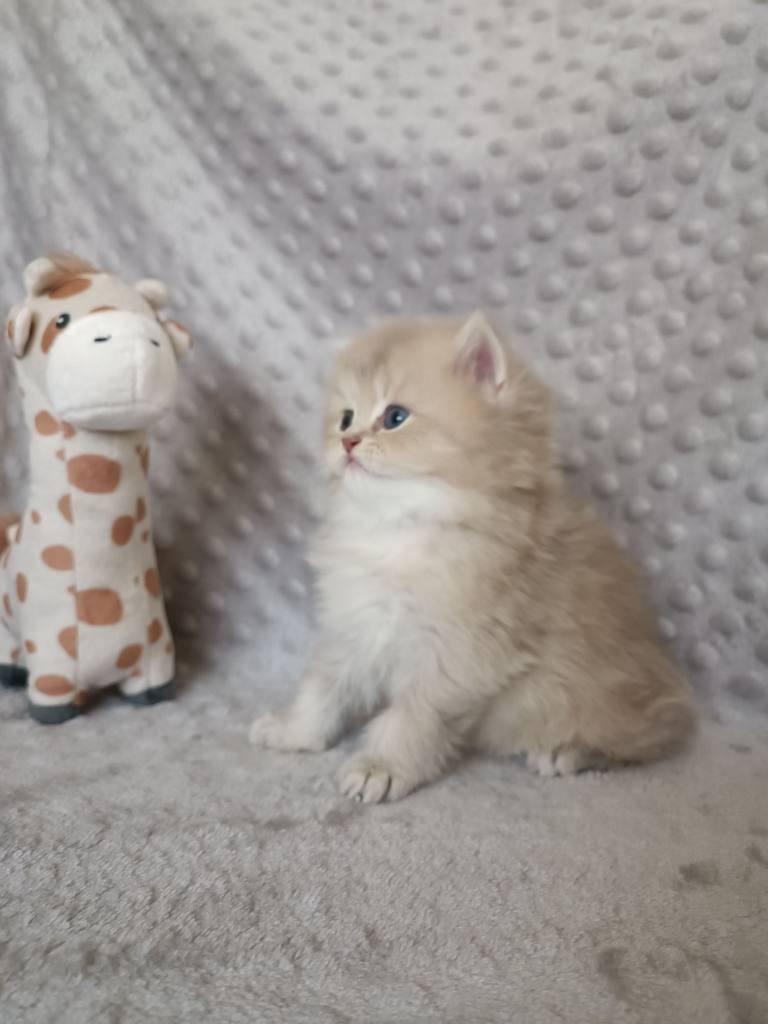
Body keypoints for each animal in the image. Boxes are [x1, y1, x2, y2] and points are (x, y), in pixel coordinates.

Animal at [250, 311, 695, 802]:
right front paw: (294, 732)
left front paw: (380, 766)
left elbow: (413, 718)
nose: (347, 442)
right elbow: (323, 688)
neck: (403, 529)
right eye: (345, 418)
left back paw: (568, 750)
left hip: (593, 701)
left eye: (395, 417)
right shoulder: (355, 625)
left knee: (646, 737)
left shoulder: (456, 654)